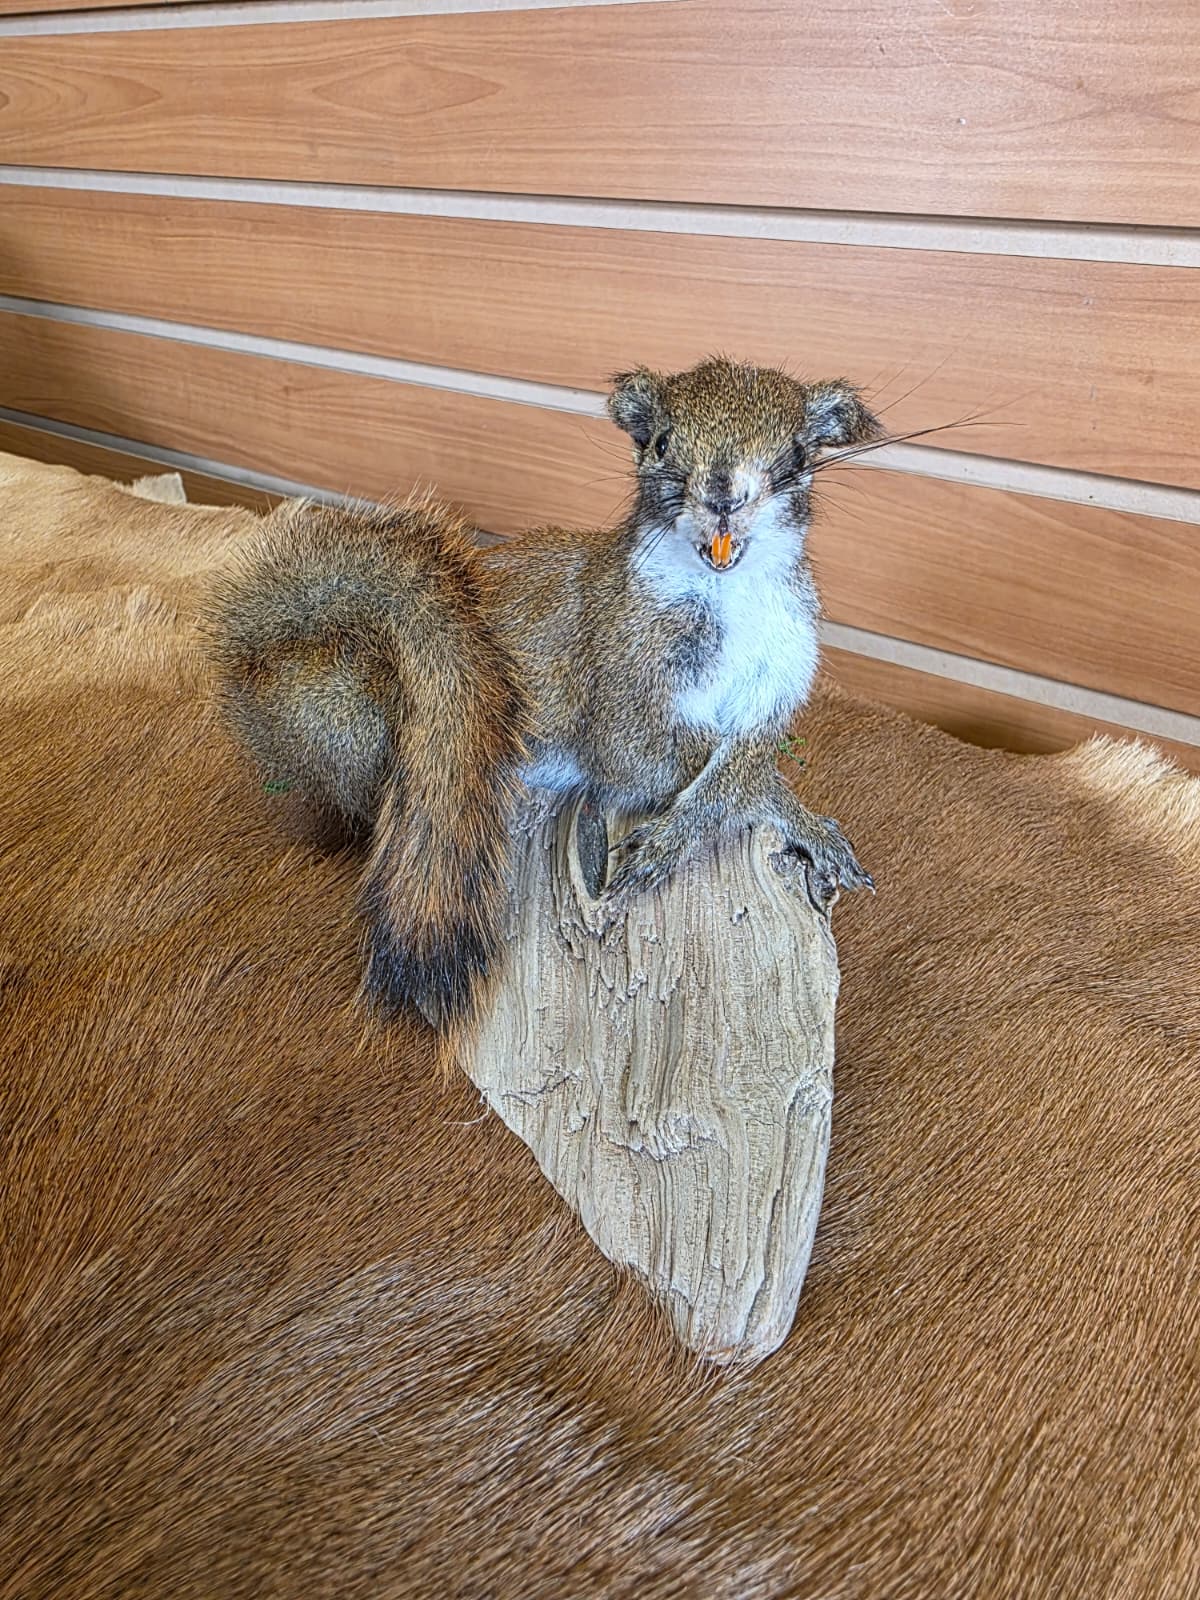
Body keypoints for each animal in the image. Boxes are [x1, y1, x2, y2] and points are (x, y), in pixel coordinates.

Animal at [208, 356, 879, 1026]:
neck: (728, 589)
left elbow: (747, 765)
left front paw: (792, 819)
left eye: (798, 454)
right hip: (353, 718)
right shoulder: (622, 691)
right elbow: (693, 770)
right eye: (661, 443)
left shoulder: (774, 685)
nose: (722, 496)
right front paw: (725, 827)